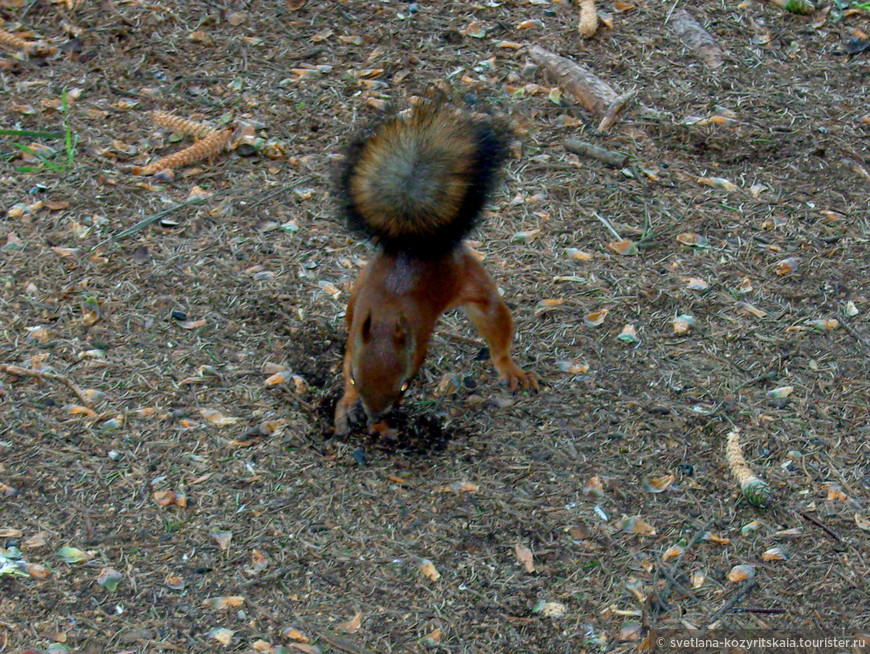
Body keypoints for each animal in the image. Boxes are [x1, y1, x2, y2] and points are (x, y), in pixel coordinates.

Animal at [334, 100, 540, 436]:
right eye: (354, 378)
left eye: (404, 386)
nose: (375, 416)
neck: (386, 319)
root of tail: (414, 242)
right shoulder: (355, 343)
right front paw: (348, 404)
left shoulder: (415, 350)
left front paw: (382, 427)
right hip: (356, 292)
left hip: (476, 288)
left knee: (496, 331)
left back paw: (510, 368)